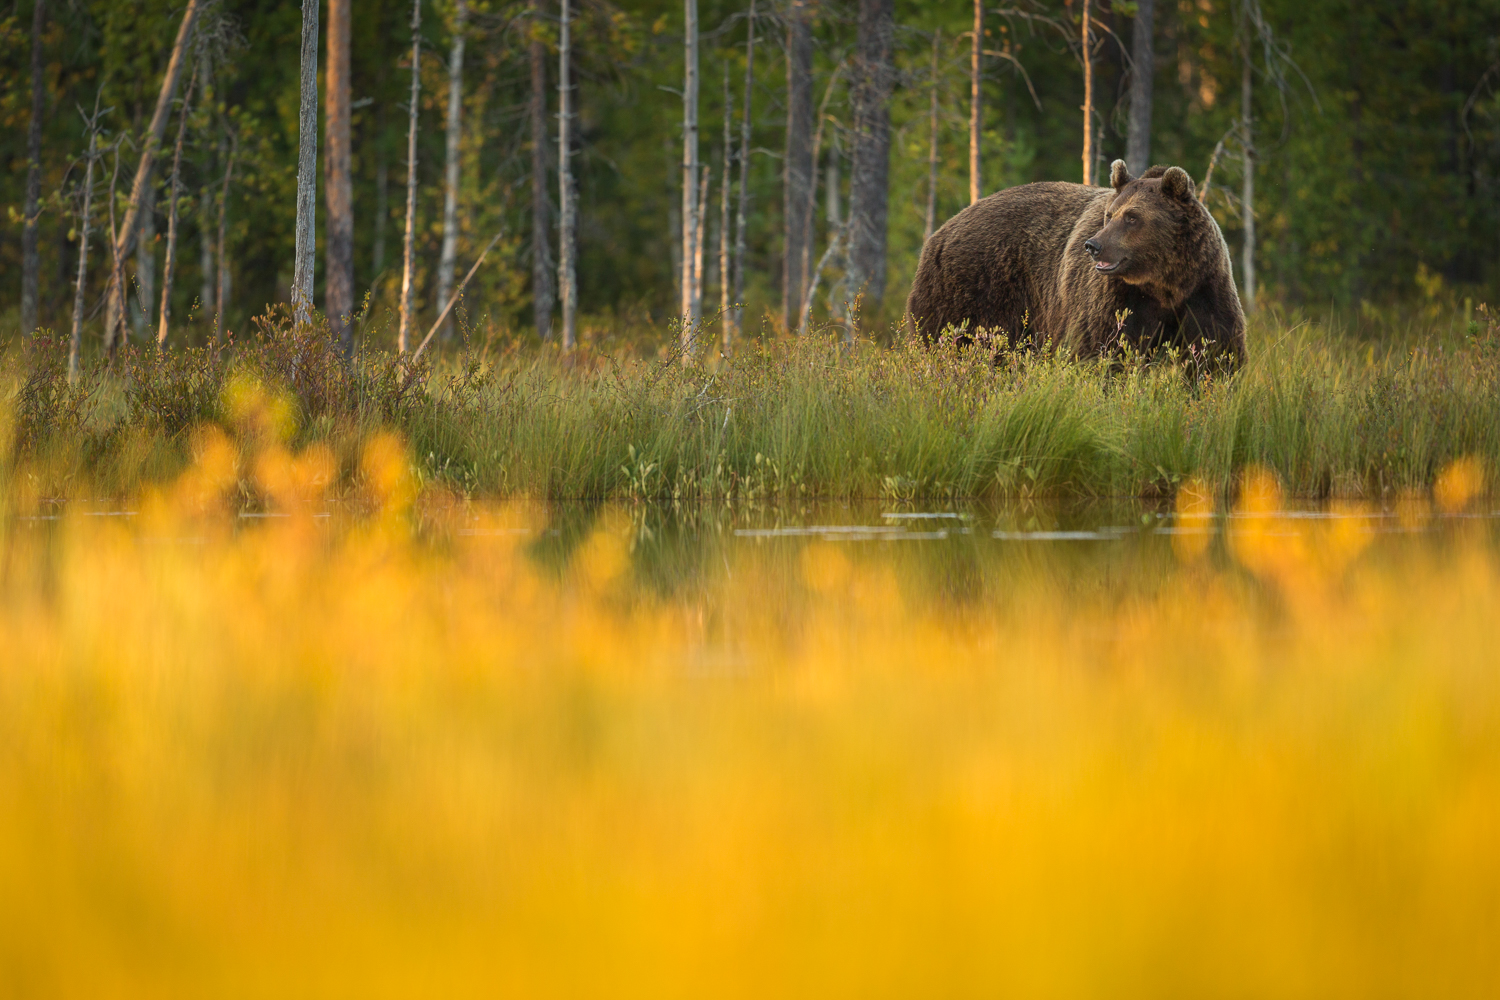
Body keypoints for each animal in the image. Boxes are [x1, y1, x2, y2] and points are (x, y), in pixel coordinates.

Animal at [906, 160, 1248, 367]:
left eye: (1132, 217)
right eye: (1110, 214)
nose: (1093, 246)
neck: (1164, 284)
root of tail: (938, 234)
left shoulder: (1204, 287)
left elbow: (1216, 350)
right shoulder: (1115, 298)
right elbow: (1103, 348)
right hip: (975, 289)